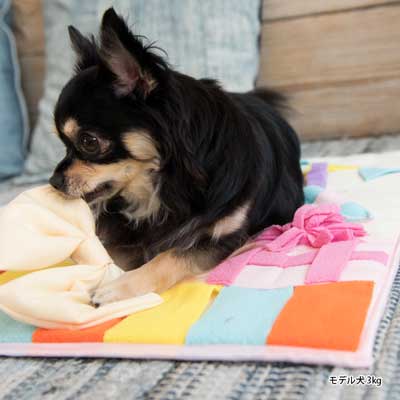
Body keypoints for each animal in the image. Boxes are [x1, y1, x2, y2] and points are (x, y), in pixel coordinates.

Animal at [49, 8, 304, 305]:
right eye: (63, 143)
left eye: (88, 142)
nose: (54, 181)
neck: (164, 187)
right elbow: (112, 253)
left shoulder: (228, 236)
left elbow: (170, 256)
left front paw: (119, 287)